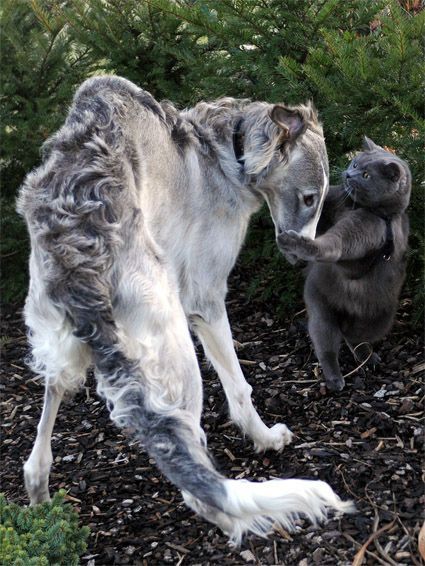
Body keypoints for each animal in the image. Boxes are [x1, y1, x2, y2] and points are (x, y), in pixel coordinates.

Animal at [19, 77, 352, 544]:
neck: (230, 149)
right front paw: (265, 437)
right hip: (174, 350)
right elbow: (239, 387)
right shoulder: (206, 299)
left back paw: (41, 500)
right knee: (200, 488)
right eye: (308, 198)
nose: (301, 258)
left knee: (38, 445)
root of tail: (82, 254)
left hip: (59, 347)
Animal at [276, 139, 410, 394]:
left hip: (376, 314)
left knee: (338, 337)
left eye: (366, 175)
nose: (348, 174)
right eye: (355, 163)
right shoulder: (337, 199)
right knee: (340, 335)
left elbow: (335, 245)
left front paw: (296, 243)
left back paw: (342, 374)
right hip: (334, 304)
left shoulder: (365, 228)